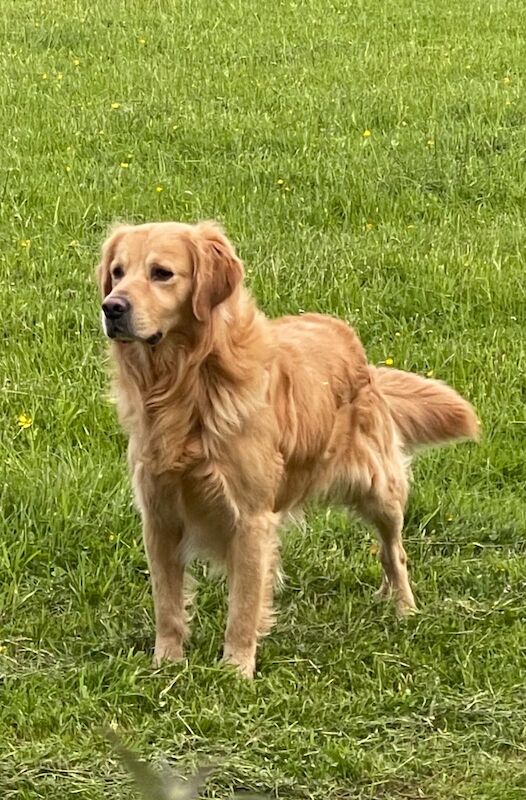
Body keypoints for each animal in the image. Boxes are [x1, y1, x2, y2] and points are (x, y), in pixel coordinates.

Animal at [97, 222, 480, 680]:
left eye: (162, 273)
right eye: (117, 273)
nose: (111, 308)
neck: (185, 384)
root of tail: (356, 348)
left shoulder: (250, 518)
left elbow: (243, 607)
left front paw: (235, 670)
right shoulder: (159, 513)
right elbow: (167, 603)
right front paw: (166, 663)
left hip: (380, 489)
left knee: (394, 552)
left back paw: (404, 608)